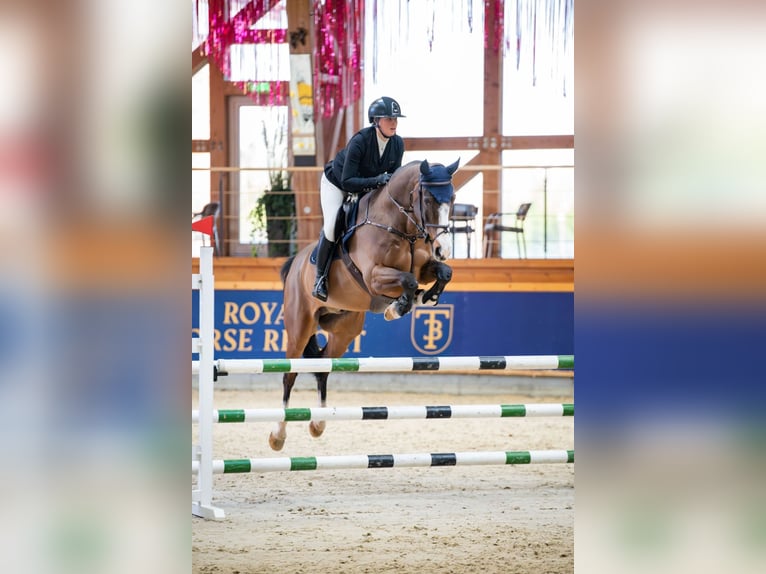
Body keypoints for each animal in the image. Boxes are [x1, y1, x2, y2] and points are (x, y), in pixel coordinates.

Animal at [269, 158, 460, 450]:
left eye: (453, 198)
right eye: (427, 199)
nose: (443, 250)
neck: (399, 226)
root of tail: (295, 264)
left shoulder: (424, 267)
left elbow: (442, 273)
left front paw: (426, 297)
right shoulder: (374, 277)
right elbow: (408, 280)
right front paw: (396, 307)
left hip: (345, 329)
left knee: (323, 368)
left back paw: (318, 424)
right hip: (299, 326)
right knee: (289, 374)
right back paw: (278, 435)